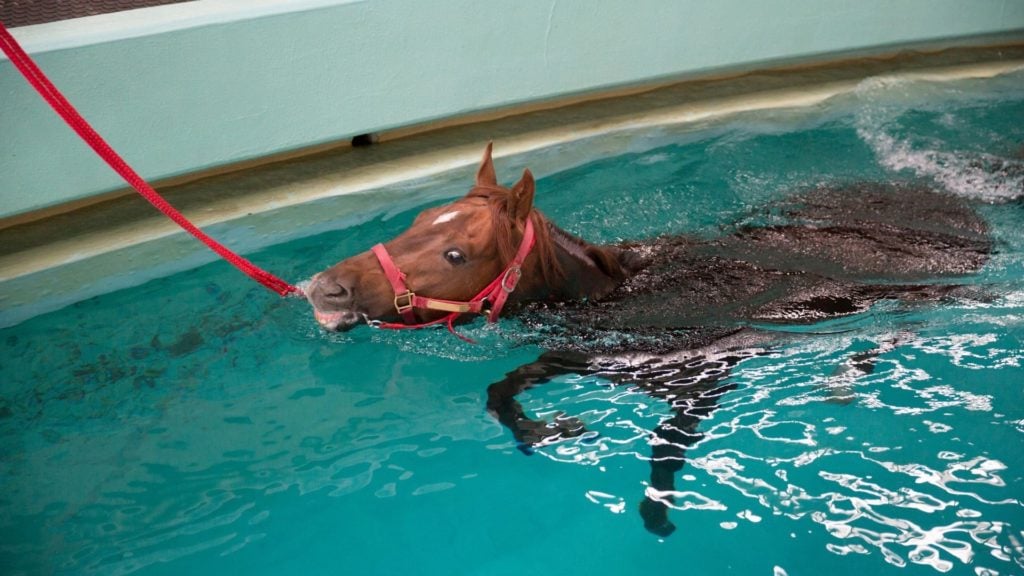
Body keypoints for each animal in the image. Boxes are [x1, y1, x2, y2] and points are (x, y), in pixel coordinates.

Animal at [303, 142, 991, 532]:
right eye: (417, 220)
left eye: (455, 253)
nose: (324, 290)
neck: (626, 296)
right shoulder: (583, 354)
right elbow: (501, 393)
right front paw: (550, 429)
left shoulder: (699, 381)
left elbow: (663, 457)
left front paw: (657, 517)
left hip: (928, 291)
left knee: (899, 330)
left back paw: (845, 378)